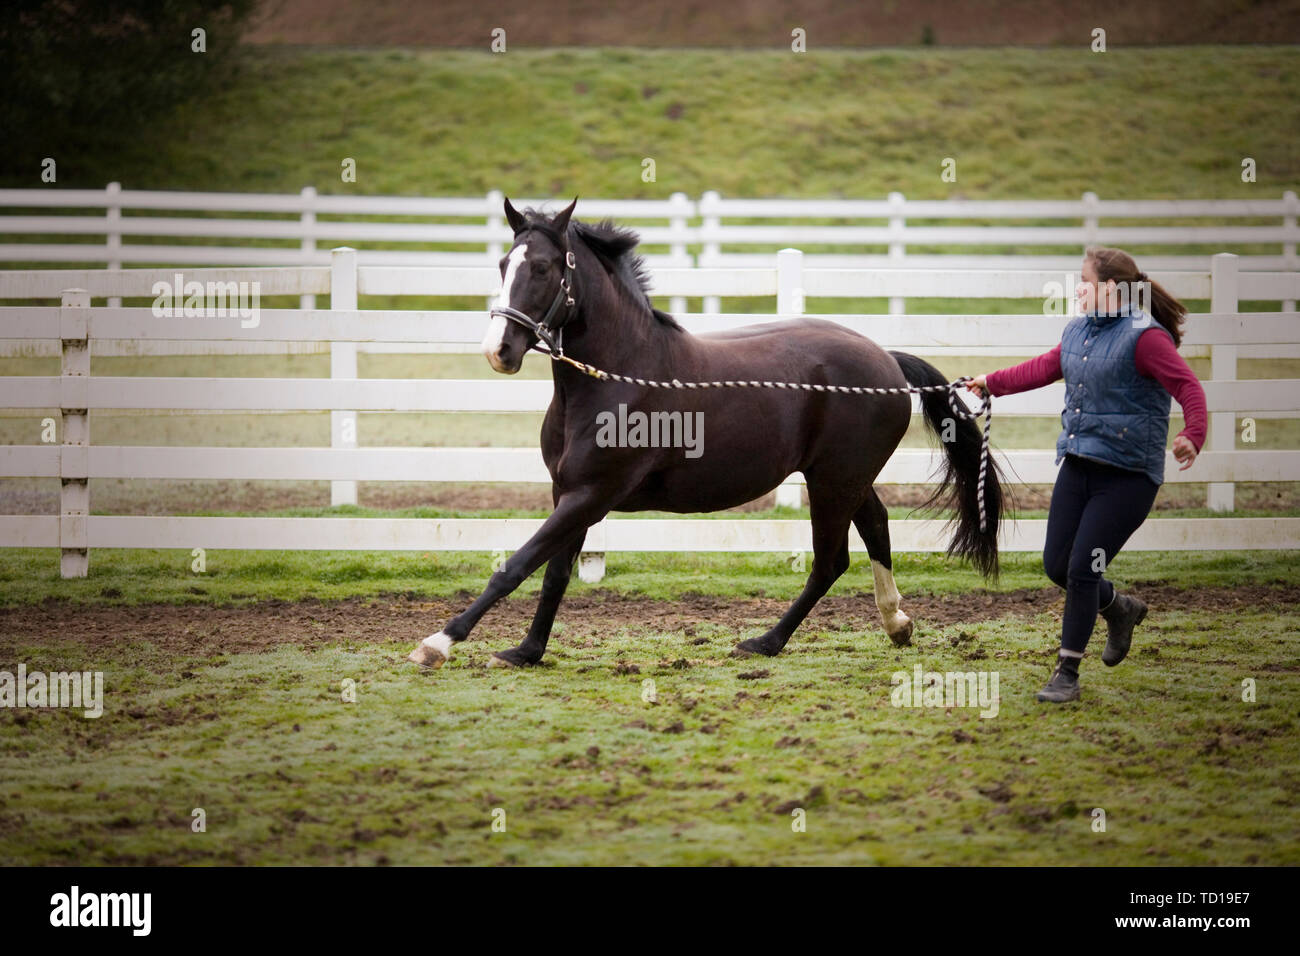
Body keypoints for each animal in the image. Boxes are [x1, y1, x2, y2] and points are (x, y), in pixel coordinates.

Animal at [408, 198, 1005, 671]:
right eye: (503, 264)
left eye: (543, 267)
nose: (499, 350)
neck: (620, 377)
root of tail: (886, 360)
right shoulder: (570, 494)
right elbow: (553, 572)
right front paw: (526, 651)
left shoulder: (591, 495)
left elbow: (516, 565)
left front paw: (438, 643)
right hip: (844, 478)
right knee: (877, 528)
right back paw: (896, 624)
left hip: (834, 481)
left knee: (830, 561)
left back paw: (766, 642)